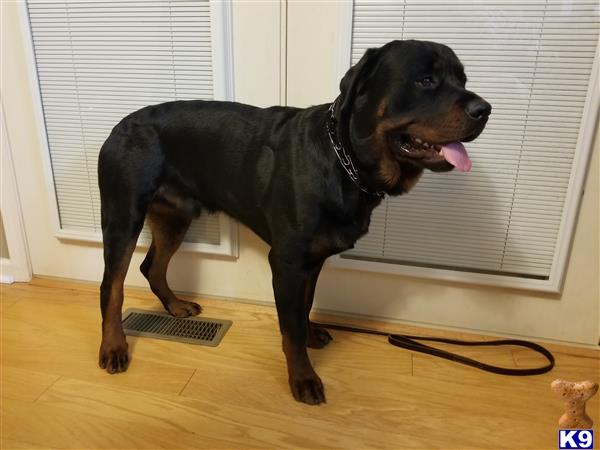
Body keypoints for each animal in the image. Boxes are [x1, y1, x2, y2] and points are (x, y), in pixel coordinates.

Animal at [98, 38, 490, 404]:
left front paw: (311, 334)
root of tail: (117, 127)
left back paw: (175, 305)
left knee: (152, 266)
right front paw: (303, 377)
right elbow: (290, 328)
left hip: (174, 217)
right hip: (122, 216)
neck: (344, 162)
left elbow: (303, 309)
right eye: (425, 80)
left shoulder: (311, 260)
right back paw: (114, 346)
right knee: (112, 287)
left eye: (462, 80)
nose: (485, 109)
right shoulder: (287, 262)